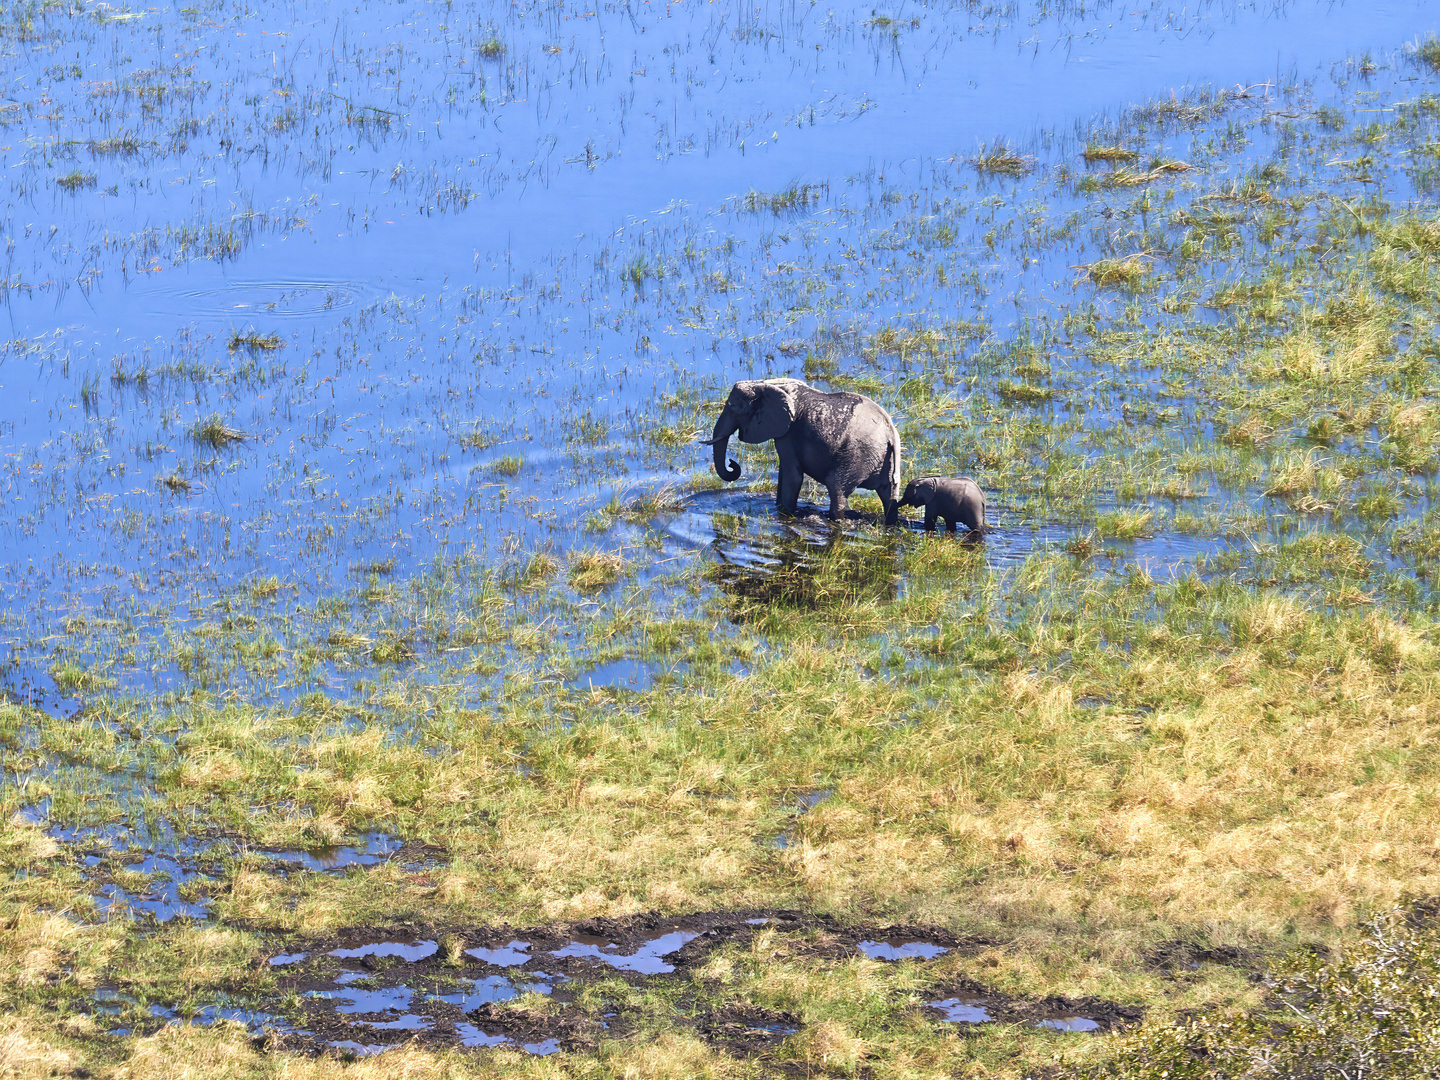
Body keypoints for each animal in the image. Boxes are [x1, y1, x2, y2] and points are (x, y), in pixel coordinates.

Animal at [699, 380, 898, 529]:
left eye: (732, 408)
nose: (732, 463)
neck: (764, 384)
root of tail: (890, 434)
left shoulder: (789, 431)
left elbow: (793, 476)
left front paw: (786, 514)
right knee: (889, 496)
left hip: (855, 455)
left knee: (837, 490)